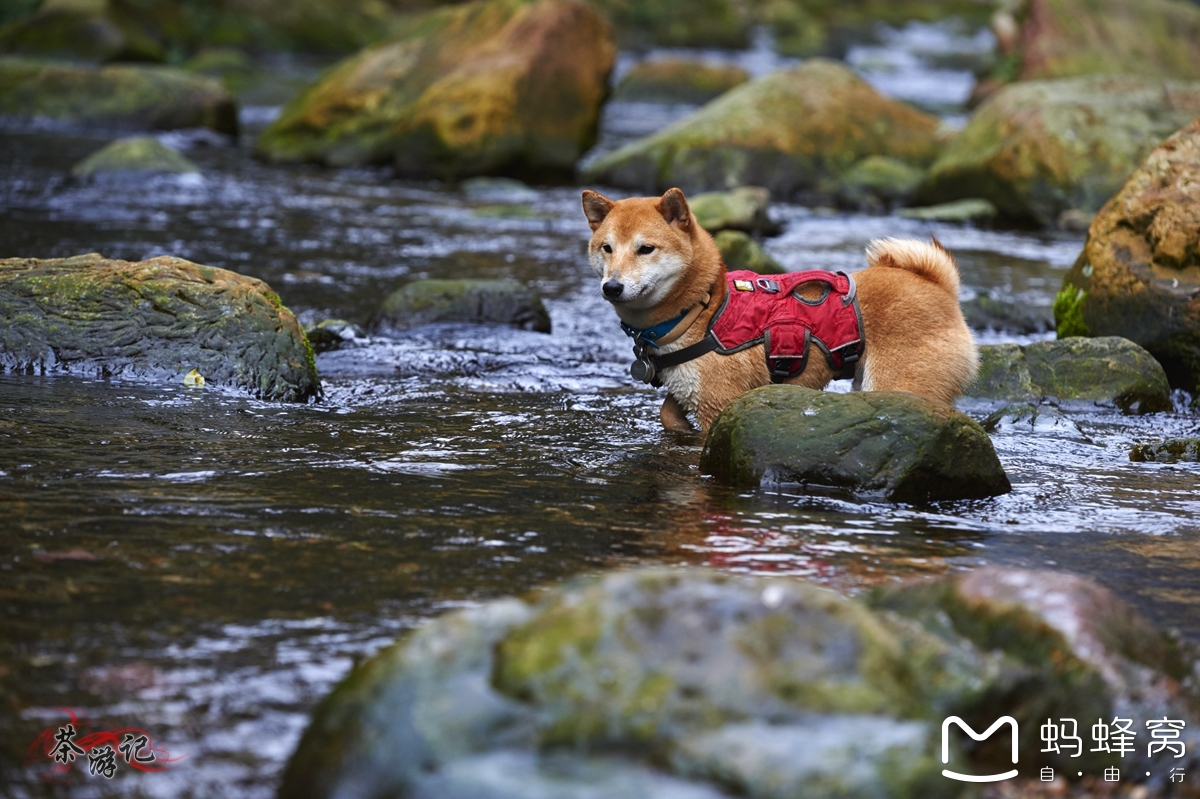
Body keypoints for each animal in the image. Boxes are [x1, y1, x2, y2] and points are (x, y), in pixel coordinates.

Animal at [583, 184, 984, 429]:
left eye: (645, 249)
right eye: (607, 248)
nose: (612, 286)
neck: (701, 310)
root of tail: (937, 285)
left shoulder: (719, 405)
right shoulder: (686, 390)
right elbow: (669, 412)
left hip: (901, 385)